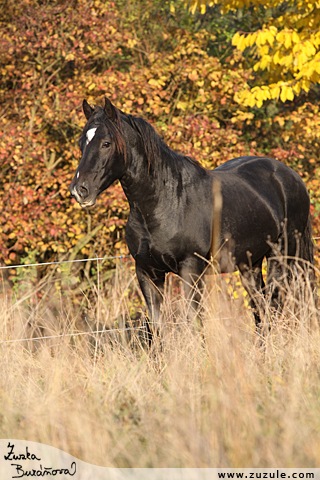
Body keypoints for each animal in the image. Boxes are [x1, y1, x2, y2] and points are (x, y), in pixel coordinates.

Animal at [70, 97, 316, 330]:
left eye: (106, 143)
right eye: (82, 143)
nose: (79, 190)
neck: (166, 202)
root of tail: (291, 176)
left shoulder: (191, 270)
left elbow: (194, 323)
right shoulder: (147, 273)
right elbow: (158, 327)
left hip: (282, 257)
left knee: (274, 306)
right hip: (251, 264)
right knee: (260, 310)